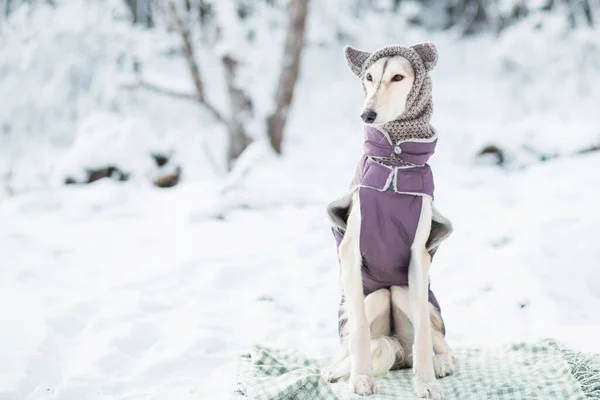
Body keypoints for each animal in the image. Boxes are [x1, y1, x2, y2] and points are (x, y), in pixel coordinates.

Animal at [324, 42, 454, 398]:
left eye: (398, 77)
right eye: (368, 77)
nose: (367, 115)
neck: (394, 162)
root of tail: (398, 354)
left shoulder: (418, 257)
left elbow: (423, 333)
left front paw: (426, 382)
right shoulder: (351, 253)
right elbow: (359, 332)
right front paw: (360, 378)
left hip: (408, 292)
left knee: (438, 340)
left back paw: (440, 363)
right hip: (374, 297)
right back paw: (335, 369)